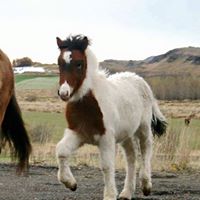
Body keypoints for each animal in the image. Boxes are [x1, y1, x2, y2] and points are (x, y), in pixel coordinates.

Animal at [55, 34, 166, 200]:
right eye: (59, 63)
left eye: (79, 64)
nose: (64, 93)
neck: (88, 103)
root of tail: (140, 80)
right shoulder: (77, 133)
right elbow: (61, 150)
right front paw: (71, 183)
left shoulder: (106, 138)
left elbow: (107, 166)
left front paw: (109, 195)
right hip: (126, 134)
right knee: (131, 158)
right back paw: (126, 193)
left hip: (143, 127)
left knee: (146, 149)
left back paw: (146, 185)